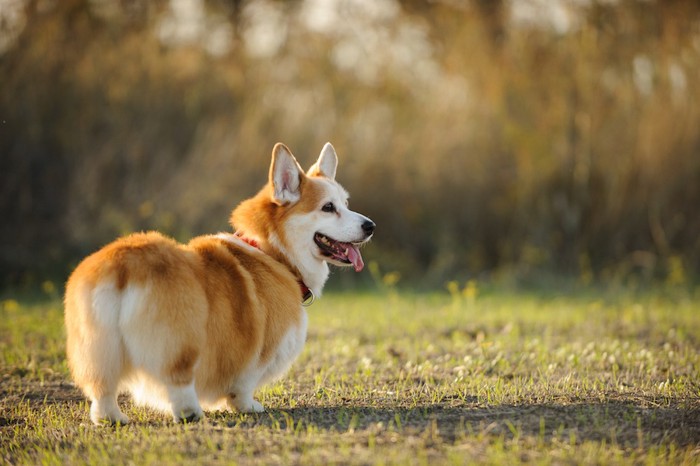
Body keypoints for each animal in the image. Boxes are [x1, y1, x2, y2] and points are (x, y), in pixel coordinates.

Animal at [63, 141, 374, 422]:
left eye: (346, 204)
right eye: (328, 207)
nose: (370, 226)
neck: (273, 251)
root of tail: (124, 264)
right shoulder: (258, 350)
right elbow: (243, 383)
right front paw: (247, 406)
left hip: (98, 345)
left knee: (102, 389)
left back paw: (112, 418)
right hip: (181, 341)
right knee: (178, 381)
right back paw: (190, 412)